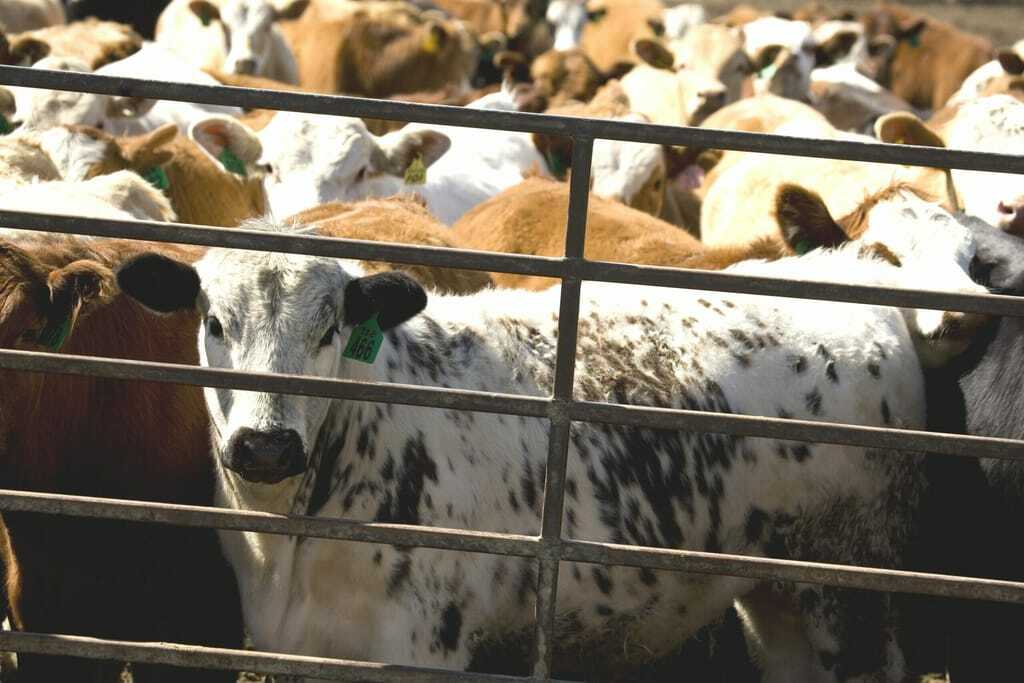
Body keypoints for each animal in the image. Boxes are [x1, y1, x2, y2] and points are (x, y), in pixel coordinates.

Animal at [116, 181, 988, 681]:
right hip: (776, 590)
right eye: (213, 321)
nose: (265, 444)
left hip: (854, 579)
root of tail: (850, 275)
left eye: (330, 327)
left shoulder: (421, 644)